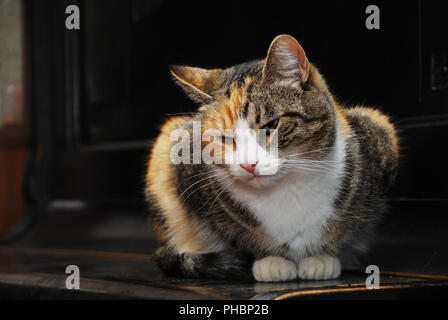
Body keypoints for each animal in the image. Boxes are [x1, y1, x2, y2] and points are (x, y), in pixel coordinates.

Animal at [144, 33, 400, 282]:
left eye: (271, 126)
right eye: (224, 138)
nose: (248, 164)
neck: (287, 188)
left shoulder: (380, 133)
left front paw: (322, 257)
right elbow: (237, 235)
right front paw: (270, 260)